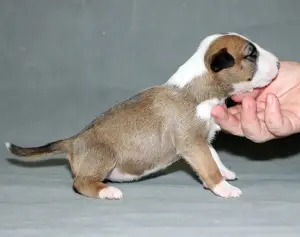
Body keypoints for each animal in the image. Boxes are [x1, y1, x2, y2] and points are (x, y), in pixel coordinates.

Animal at [4, 32, 280, 200]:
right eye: (251, 54)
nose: (278, 64)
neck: (195, 91)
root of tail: (73, 141)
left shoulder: (201, 139)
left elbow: (214, 157)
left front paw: (225, 173)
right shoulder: (192, 143)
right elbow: (208, 165)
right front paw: (223, 187)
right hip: (103, 157)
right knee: (81, 183)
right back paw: (107, 192)